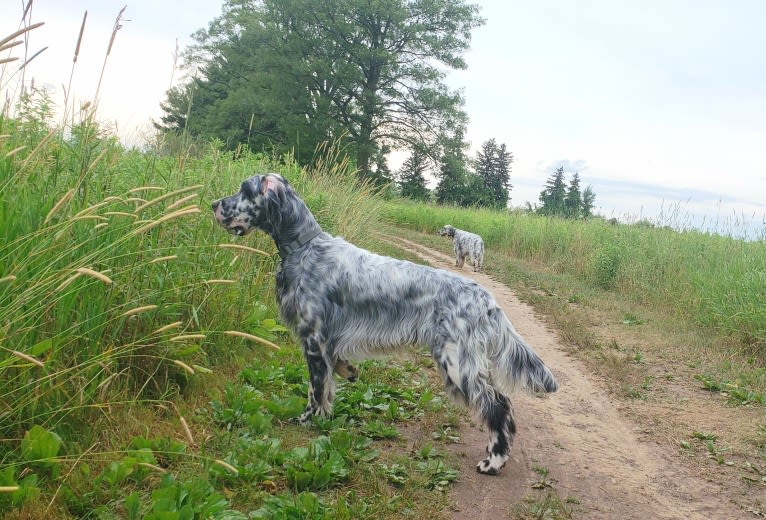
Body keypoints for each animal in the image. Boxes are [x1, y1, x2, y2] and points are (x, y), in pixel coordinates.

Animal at [210, 174, 560, 476]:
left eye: (245, 190)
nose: (214, 204)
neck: (305, 247)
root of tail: (486, 299)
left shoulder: (313, 338)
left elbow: (315, 389)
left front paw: (308, 420)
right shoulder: (326, 343)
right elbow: (332, 378)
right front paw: (345, 377)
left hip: (457, 364)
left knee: (498, 406)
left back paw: (493, 462)